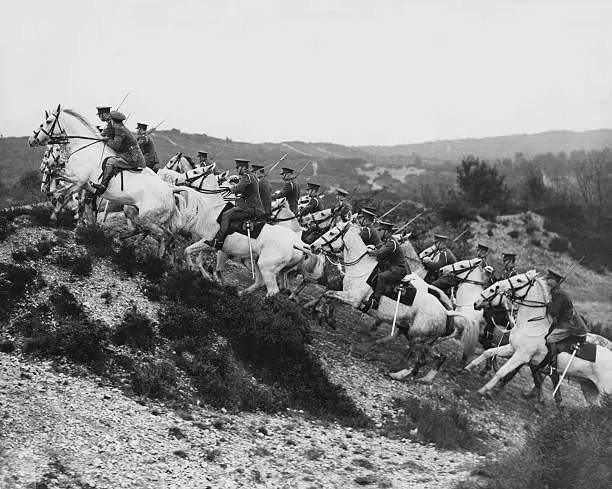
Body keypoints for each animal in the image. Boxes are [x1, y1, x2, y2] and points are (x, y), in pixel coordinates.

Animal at [28, 104, 180, 254]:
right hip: (138, 214)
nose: (31, 140)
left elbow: (62, 186)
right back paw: (127, 242)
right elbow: (64, 187)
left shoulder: (78, 180)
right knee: (155, 234)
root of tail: (171, 194)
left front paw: (56, 206)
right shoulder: (82, 184)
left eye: (48, 122)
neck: (83, 147)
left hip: (148, 219)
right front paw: (59, 210)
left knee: (165, 236)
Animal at [310, 221, 478, 382]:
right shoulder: (347, 295)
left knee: (420, 360)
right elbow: (328, 297)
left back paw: (399, 374)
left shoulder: (353, 298)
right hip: (423, 340)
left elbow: (328, 294)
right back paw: (425, 378)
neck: (362, 267)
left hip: (417, 339)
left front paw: (319, 313)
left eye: (332, 232)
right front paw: (325, 317)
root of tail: (446, 311)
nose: (313, 245)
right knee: (438, 357)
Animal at [466, 270, 612, 404]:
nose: (476, 303)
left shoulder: (521, 356)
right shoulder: (512, 348)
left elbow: (502, 372)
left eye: (519, 280)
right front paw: (469, 367)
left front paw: (485, 389)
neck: (532, 324)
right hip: (590, 389)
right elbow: (489, 352)